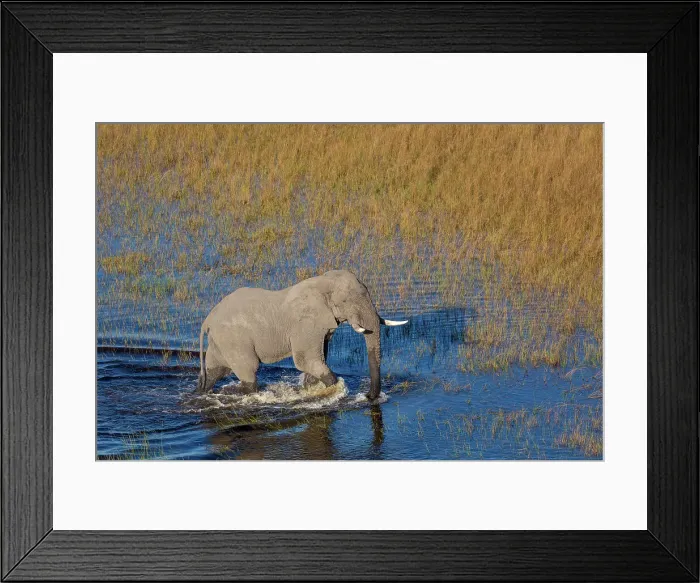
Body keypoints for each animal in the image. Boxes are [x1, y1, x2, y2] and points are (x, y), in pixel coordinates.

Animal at [195, 269, 407, 400]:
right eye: (346, 301)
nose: (368, 396)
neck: (323, 281)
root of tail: (207, 320)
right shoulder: (306, 325)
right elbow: (307, 360)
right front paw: (335, 389)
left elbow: (318, 358)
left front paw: (310, 389)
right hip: (233, 339)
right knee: (249, 370)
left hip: (221, 341)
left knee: (214, 370)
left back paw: (203, 392)